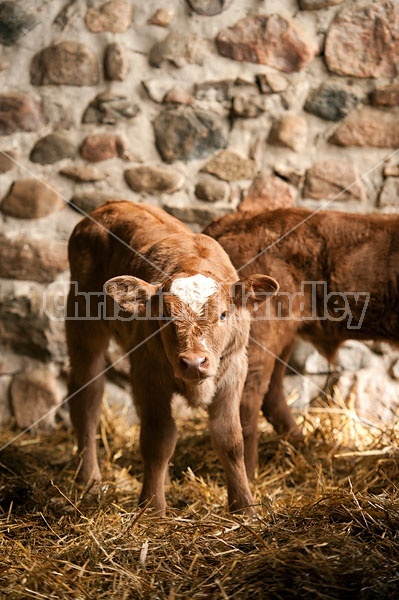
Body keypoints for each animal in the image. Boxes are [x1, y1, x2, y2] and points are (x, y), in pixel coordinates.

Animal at [65, 200, 278, 510]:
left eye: (223, 314)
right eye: (165, 317)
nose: (193, 362)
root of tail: (111, 205)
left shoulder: (233, 369)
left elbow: (230, 439)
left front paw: (244, 505)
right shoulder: (150, 373)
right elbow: (158, 439)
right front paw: (153, 507)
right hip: (83, 326)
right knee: (87, 398)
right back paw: (89, 480)